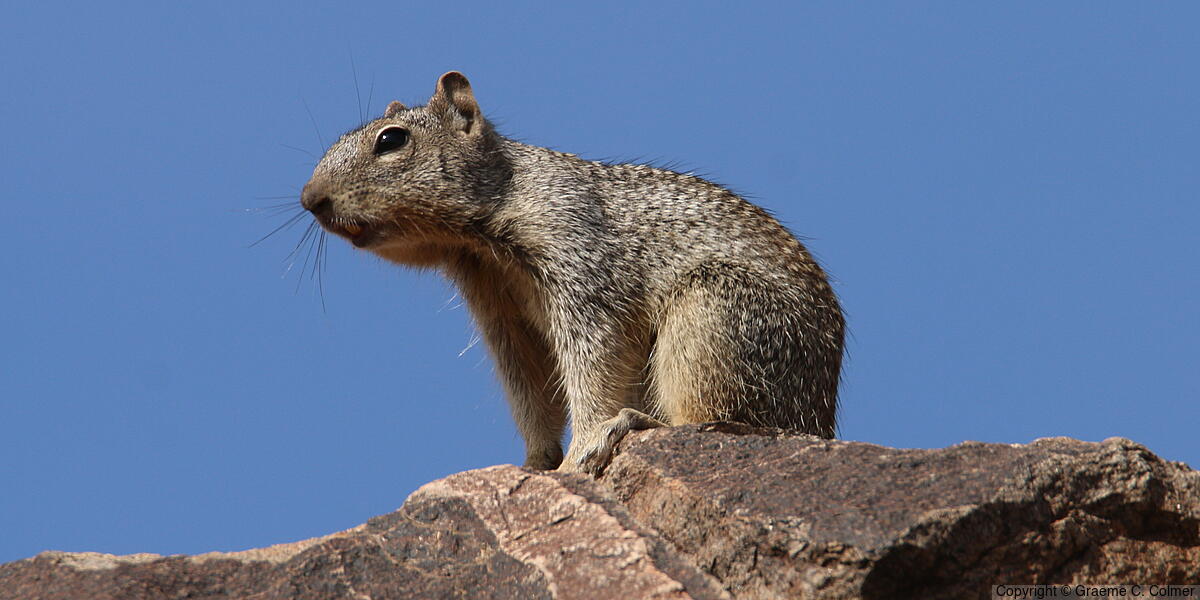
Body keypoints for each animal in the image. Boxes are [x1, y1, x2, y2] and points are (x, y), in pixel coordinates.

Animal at [301, 72, 845, 475]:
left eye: (391, 140)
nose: (309, 199)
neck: (480, 240)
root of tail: (819, 420)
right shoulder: (499, 313)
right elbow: (530, 391)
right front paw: (536, 463)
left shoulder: (579, 253)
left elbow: (595, 361)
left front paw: (584, 447)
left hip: (715, 313)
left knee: (718, 420)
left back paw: (638, 422)